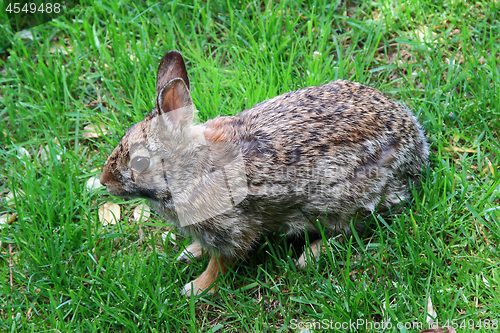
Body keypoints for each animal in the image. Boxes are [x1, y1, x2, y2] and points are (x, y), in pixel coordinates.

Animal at [99, 50, 428, 296]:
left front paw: (195, 288)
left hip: (344, 200)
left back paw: (310, 255)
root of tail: (416, 149)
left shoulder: (232, 229)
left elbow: (222, 262)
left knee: (357, 226)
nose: (105, 182)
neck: (192, 168)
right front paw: (190, 252)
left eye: (140, 163)